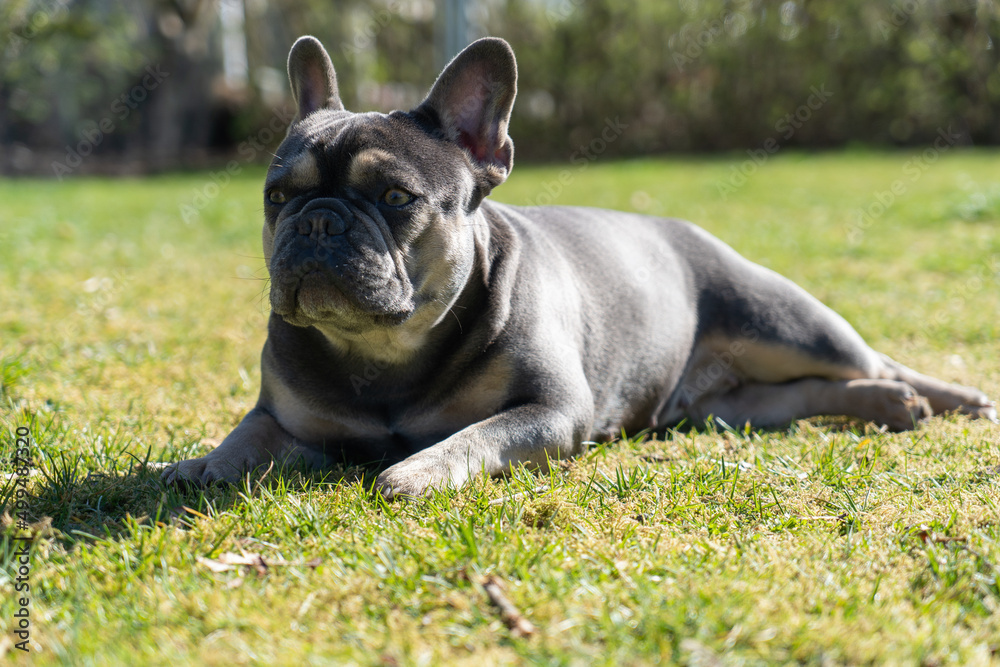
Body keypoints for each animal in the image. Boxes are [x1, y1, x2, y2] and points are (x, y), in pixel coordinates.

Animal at [162, 35, 992, 496]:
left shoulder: (550, 411)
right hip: (731, 407)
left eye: (396, 197)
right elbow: (247, 434)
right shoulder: (282, 416)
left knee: (875, 360)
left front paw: (415, 469)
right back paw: (891, 409)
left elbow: (472, 437)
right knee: (811, 395)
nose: (318, 220)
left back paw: (947, 399)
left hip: (787, 322)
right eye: (277, 197)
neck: (386, 353)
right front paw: (198, 464)